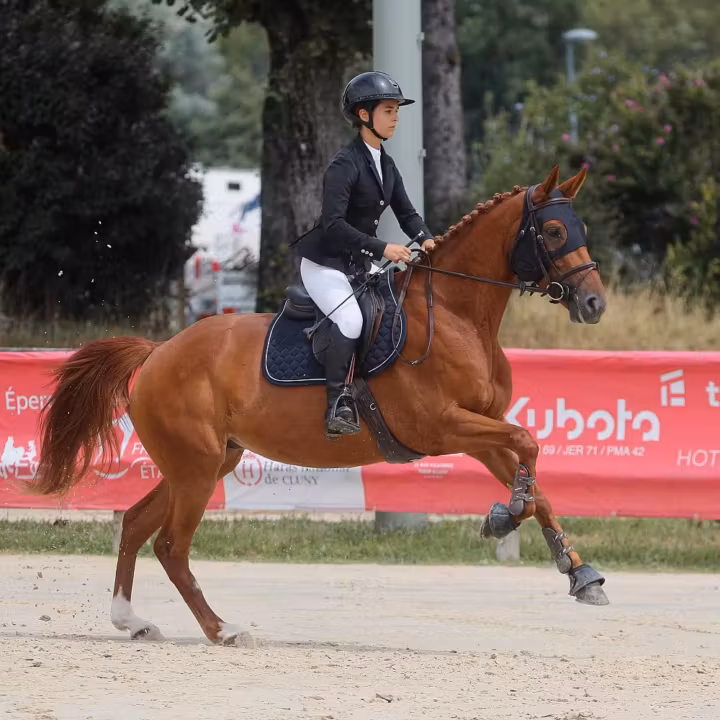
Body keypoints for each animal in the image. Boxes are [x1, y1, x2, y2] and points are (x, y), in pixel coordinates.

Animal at [29, 165, 608, 647]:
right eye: (554, 233)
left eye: (580, 227)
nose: (594, 303)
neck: (456, 314)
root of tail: (158, 351)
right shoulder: (444, 426)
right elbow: (528, 444)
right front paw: (504, 516)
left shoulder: (481, 428)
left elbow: (535, 476)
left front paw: (577, 571)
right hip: (195, 468)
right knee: (171, 545)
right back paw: (223, 630)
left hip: (205, 462)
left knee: (133, 523)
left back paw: (131, 620)